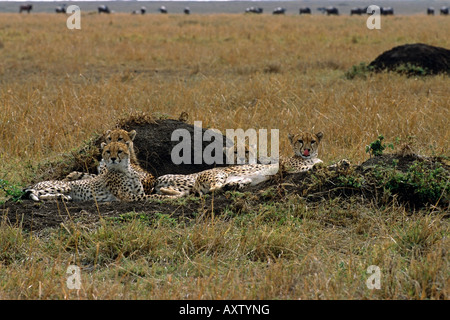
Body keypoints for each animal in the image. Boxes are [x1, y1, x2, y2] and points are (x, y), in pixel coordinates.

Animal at [25, 141, 179, 201]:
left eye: (119, 151)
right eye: (108, 151)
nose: (112, 158)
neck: (126, 171)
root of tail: (36, 182)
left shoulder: (138, 193)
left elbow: (152, 195)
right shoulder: (128, 196)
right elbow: (154, 196)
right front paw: (171, 197)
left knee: (42, 195)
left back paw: (62, 198)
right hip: (64, 186)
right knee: (36, 193)